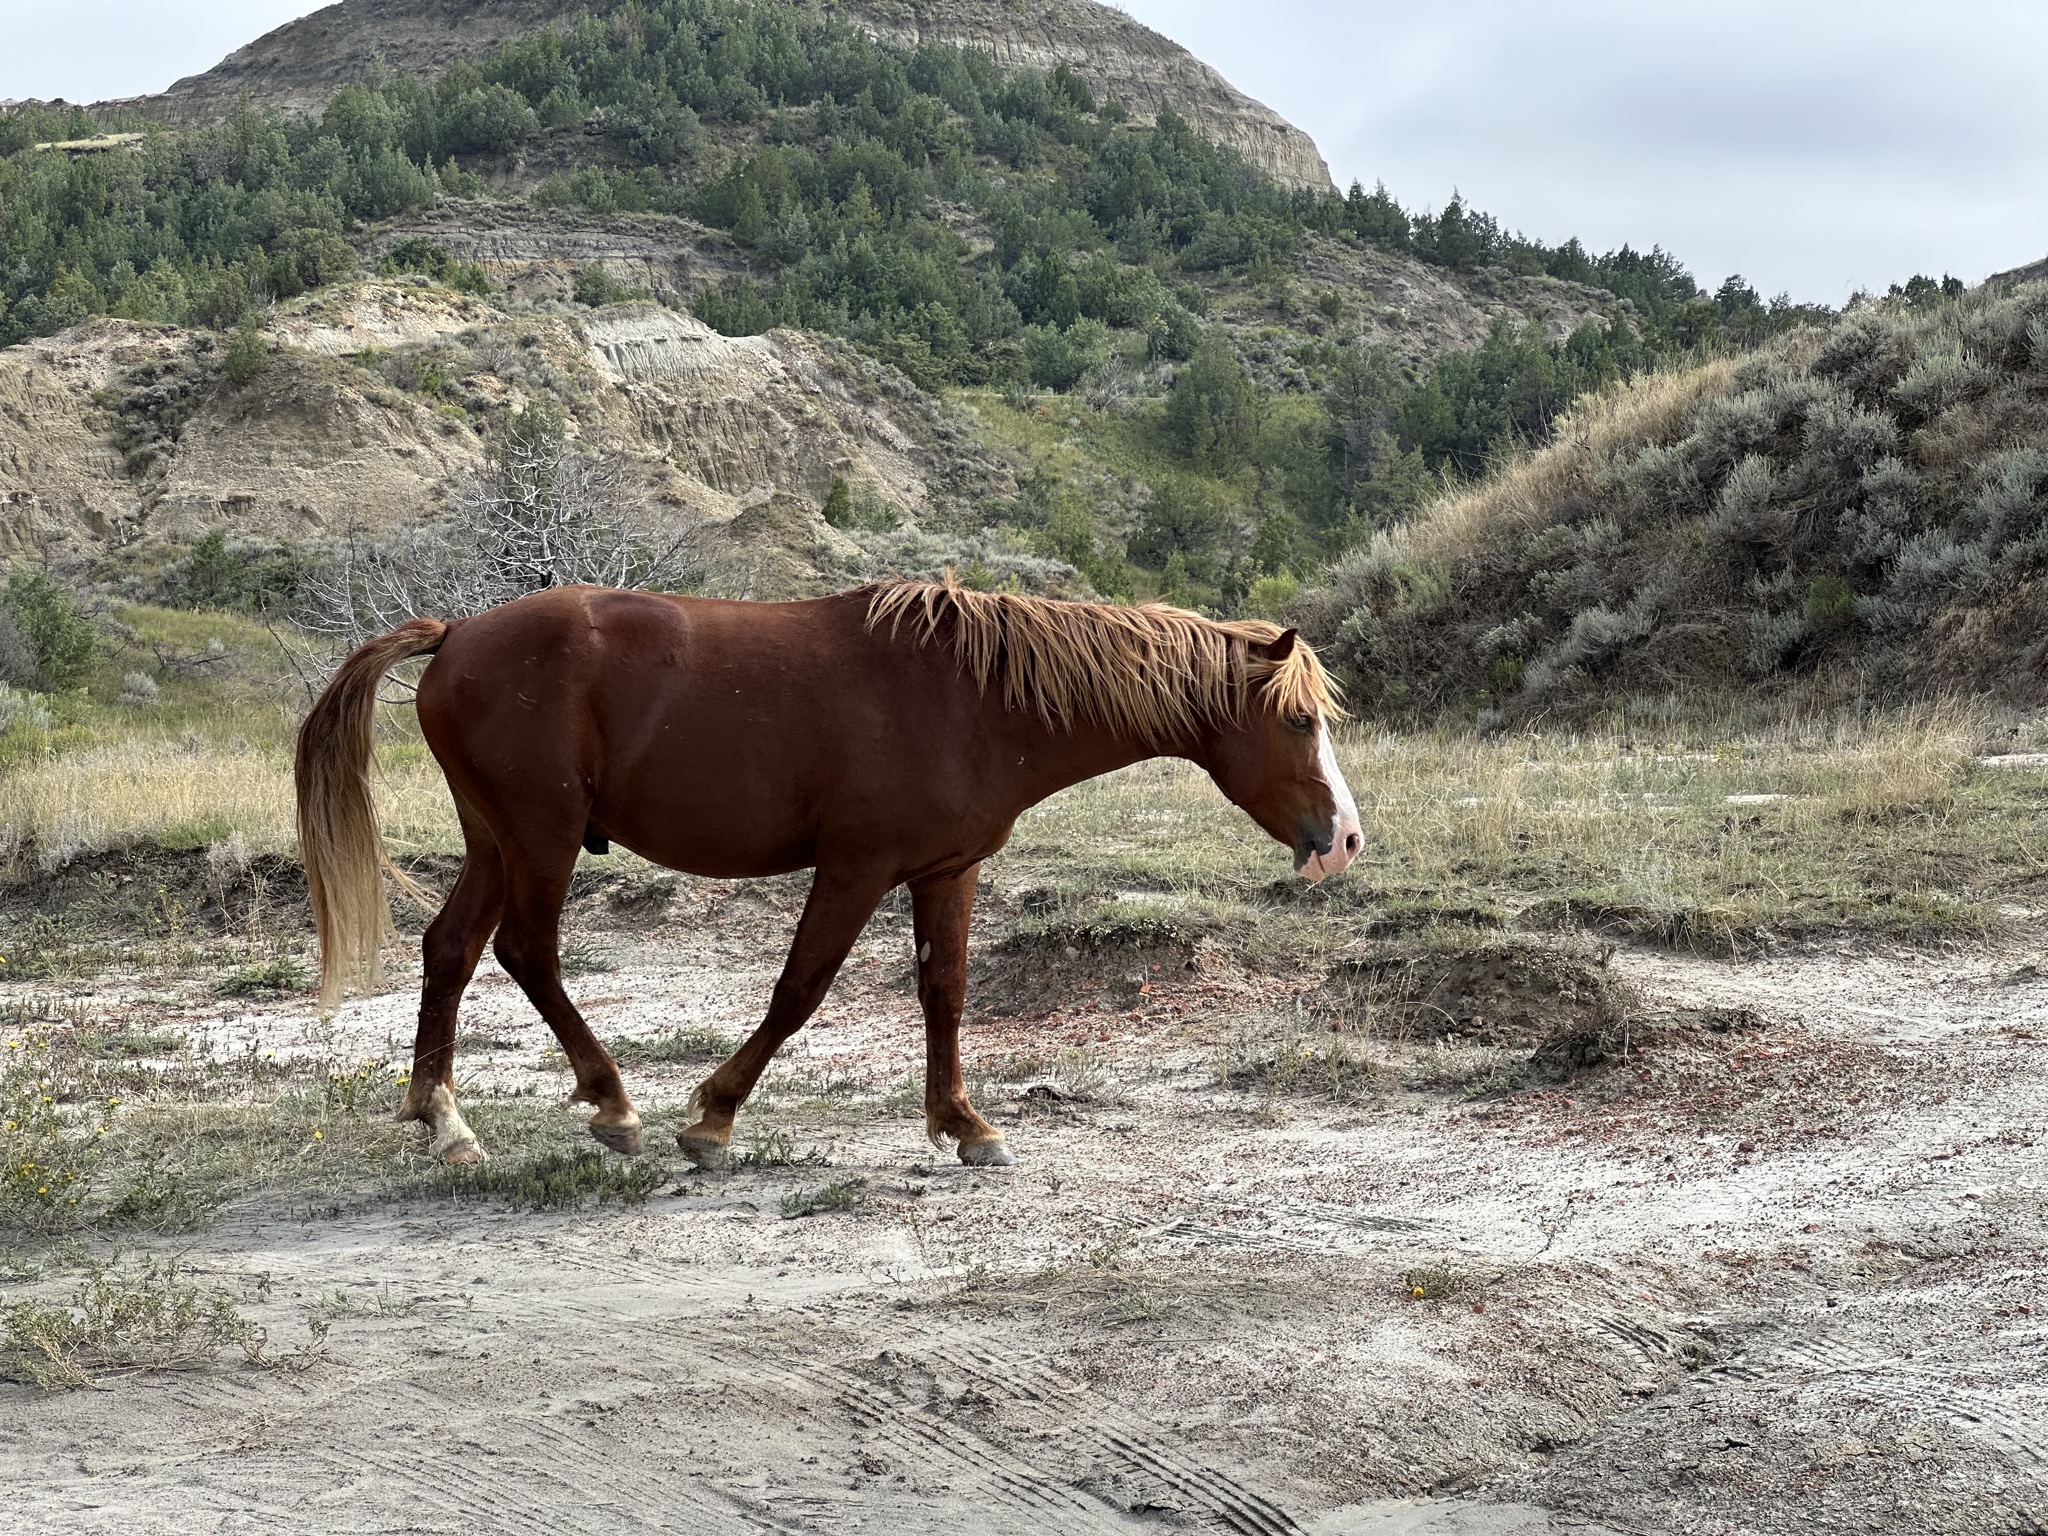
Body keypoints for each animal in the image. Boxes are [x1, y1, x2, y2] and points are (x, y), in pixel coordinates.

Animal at [294, 579, 1362, 1169]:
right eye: (1297, 720)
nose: (1345, 840)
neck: (975, 701)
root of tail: (457, 634)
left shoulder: (946, 872)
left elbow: (945, 992)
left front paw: (964, 1123)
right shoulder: (855, 868)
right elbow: (800, 989)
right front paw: (713, 1118)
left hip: (495, 841)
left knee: (450, 951)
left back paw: (444, 1122)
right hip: (540, 840)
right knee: (525, 952)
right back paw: (612, 1102)